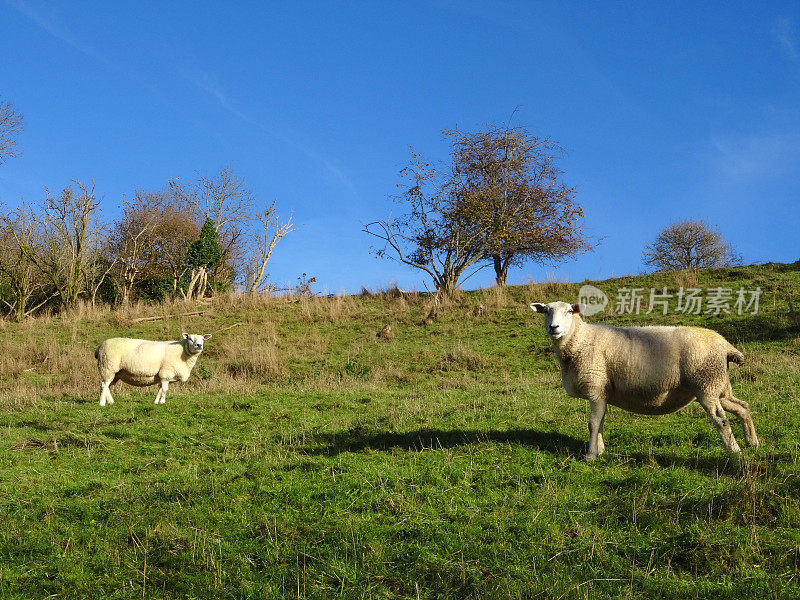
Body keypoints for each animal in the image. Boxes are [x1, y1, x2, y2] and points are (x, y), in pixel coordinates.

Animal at [532, 302, 756, 462]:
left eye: (569, 311)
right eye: (546, 311)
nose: (554, 327)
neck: (580, 340)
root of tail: (725, 344)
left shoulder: (595, 387)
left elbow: (592, 423)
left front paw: (591, 455)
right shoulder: (602, 392)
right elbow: (600, 422)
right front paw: (600, 450)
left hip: (706, 384)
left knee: (721, 419)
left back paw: (734, 451)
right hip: (719, 386)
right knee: (742, 407)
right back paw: (752, 443)